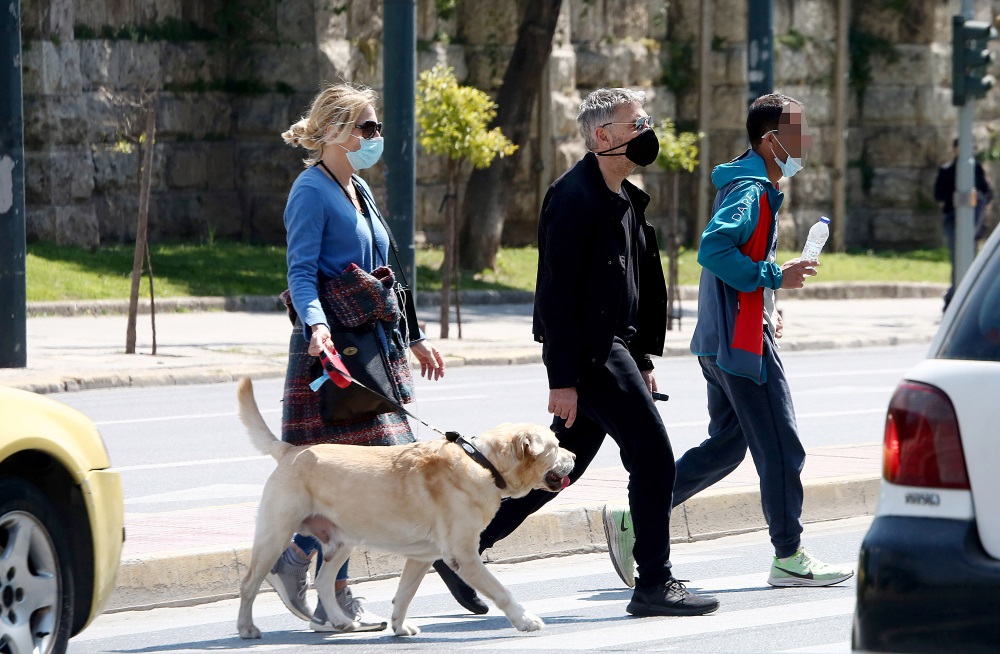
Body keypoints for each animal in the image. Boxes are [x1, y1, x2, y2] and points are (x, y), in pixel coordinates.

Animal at [234, 380, 576, 640]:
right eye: (556, 445)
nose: (573, 455)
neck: (483, 463)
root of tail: (291, 450)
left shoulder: (421, 557)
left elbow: (405, 593)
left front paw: (399, 625)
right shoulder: (463, 555)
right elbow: (500, 589)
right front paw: (525, 619)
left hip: (342, 542)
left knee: (324, 581)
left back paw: (340, 620)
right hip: (275, 534)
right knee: (249, 583)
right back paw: (247, 627)